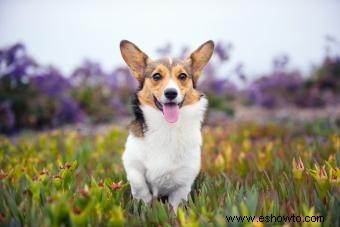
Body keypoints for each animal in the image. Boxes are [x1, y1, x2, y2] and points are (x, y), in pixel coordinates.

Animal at [119, 39, 214, 213]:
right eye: (157, 76)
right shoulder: (132, 163)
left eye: (182, 76)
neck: (167, 127)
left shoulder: (184, 179)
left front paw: (173, 214)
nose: (171, 93)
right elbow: (139, 184)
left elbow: (175, 203)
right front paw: (146, 204)